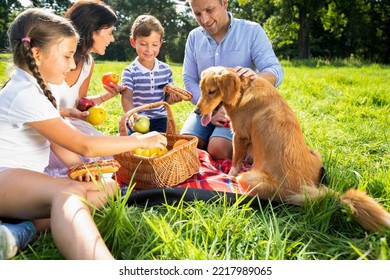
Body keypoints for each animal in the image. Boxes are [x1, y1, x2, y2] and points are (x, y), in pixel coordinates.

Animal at [197, 66, 390, 232]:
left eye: (212, 91)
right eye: (201, 89)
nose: (197, 112)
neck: (243, 89)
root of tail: (305, 190)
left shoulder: (240, 136)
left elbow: (235, 162)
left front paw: (229, 174)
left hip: (250, 178)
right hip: (315, 153)